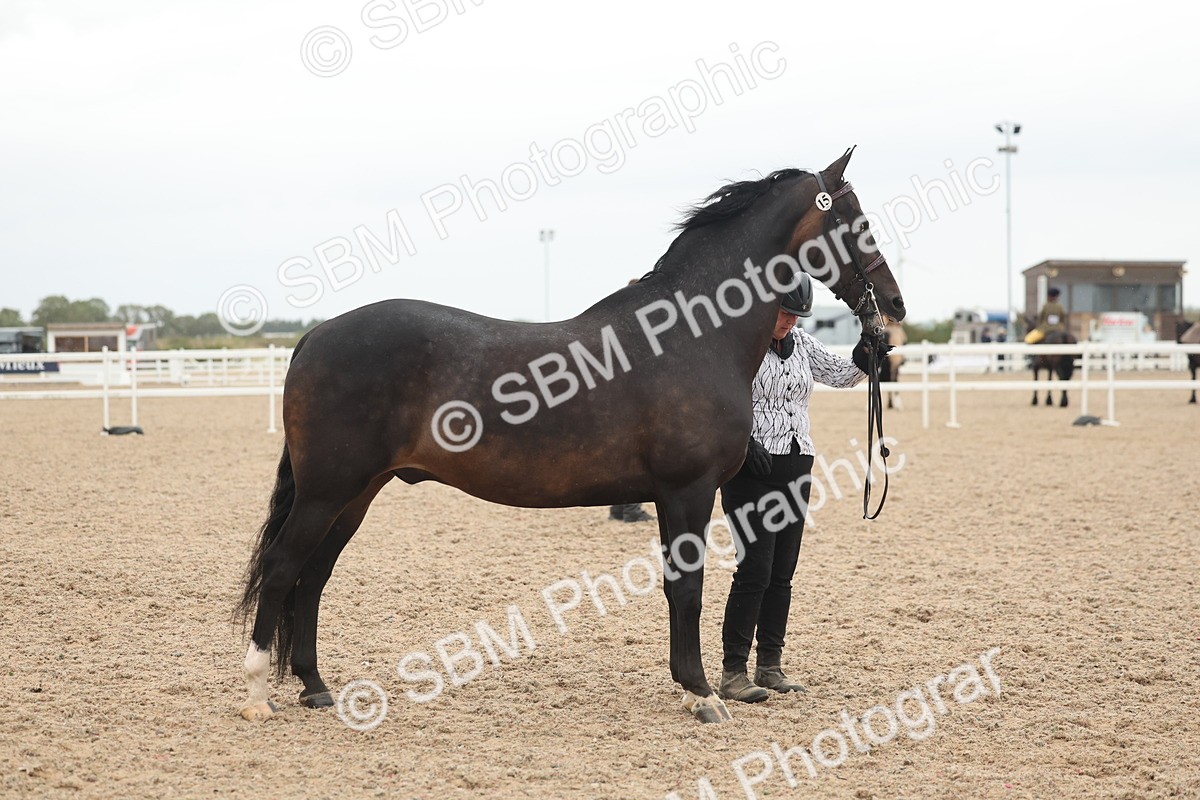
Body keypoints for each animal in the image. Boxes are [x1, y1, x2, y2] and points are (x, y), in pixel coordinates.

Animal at [234, 148, 906, 726]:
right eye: (856, 220)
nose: (894, 307)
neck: (691, 338)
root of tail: (315, 336)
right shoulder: (688, 491)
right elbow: (688, 589)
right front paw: (702, 694)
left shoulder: (673, 496)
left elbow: (677, 588)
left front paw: (691, 685)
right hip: (327, 491)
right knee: (283, 567)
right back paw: (258, 696)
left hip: (355, 494)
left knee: (313, 577)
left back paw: (315, 687)